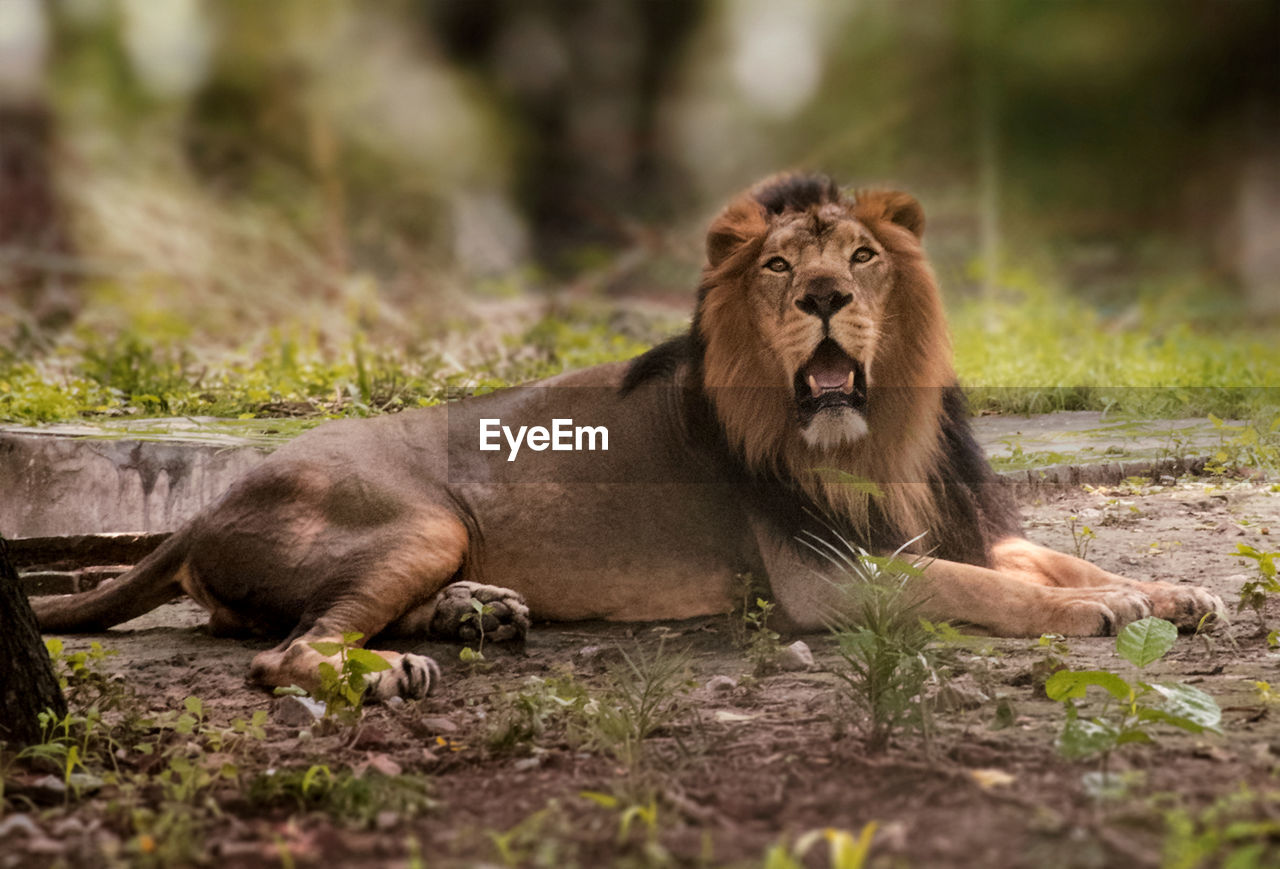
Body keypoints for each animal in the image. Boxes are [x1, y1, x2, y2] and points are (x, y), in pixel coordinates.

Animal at [30, 176, 1223, 701]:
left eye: (861, 256)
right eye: (780, 266)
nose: (826, 296)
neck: (875, 431)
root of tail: (198, 513)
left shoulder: (944, 521)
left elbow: (1054, 554)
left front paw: (1171, 592)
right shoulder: (828, 576)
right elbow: (1004, 589)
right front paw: (1104, 611)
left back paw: (476, 611)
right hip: (413, 516)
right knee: (282, 651)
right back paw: (395, 666)